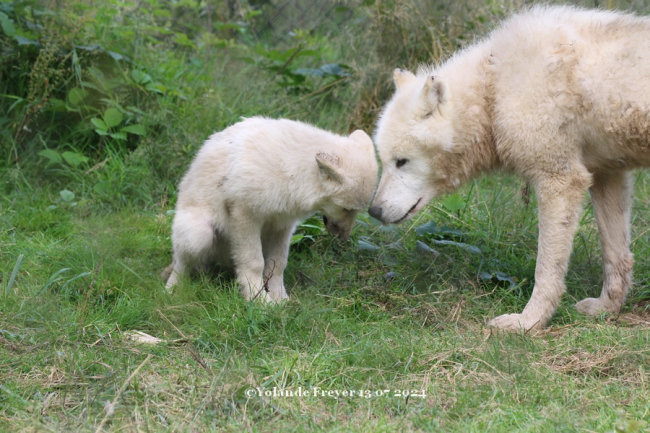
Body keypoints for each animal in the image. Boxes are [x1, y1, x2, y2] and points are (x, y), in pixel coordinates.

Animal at [165, 116, 378, 302]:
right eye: (346, 209)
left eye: (355, 211)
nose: (344, 238)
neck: (289, 169)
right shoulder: (245, 216)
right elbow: (254, 263)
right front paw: (259, 300)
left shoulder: (282, 225)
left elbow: (278, 264)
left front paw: (279, 299)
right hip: (198, 235)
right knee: (181, 265)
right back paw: (173, 290)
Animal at [368, 5, 644, 328]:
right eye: (385, 161)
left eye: (402, 162)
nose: (373, 211)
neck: (496, 87)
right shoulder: (607, 174)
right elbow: (616, 255)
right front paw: (607, 309)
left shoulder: (560, 180)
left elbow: (546, 268)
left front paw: (529, 323)